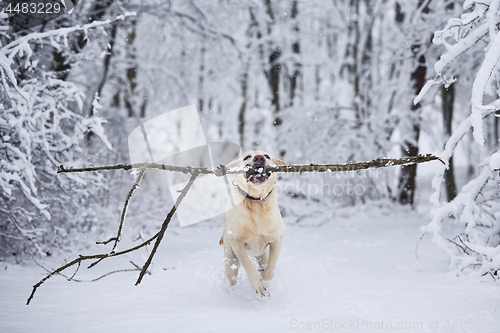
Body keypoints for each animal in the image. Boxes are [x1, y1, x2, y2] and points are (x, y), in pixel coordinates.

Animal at [217, 149, 288, 294]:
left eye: (267, 156)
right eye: (247, 157)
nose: (259, 157)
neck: (256, 201)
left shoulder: (277, 240)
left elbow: (270, 270)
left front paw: (264, 278)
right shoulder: (236, 242)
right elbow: (248, 264)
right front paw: (257, 283)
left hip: (262, 255)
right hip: (230, 258)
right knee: (232, 277)